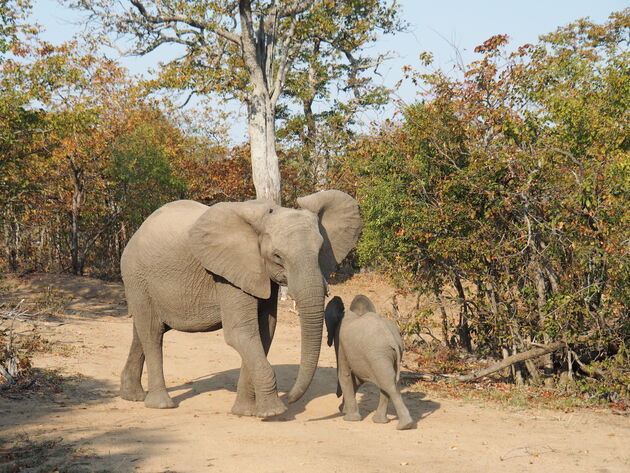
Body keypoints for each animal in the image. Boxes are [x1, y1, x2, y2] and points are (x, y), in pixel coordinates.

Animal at [120, 188, 362, 416]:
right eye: (277, 256)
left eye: (321, 251)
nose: (290, 399)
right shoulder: (229, 273)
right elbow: (242, 332)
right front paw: (274, 411)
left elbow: (264, 331)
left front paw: (246, 412)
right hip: (137, 277)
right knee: (152, 332)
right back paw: (161, 405)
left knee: (143, 331)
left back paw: (132, 396)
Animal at [326, 296, 414, 428]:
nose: (337, 395)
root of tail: (392, 339)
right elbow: (356, 380)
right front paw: (344, 410)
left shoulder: (340, 341)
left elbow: (345, 375)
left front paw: (350, 418)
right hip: (388, 354)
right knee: (388, 381)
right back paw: (384, 422)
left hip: (378, 354)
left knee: (387, 383)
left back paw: (404, 425)